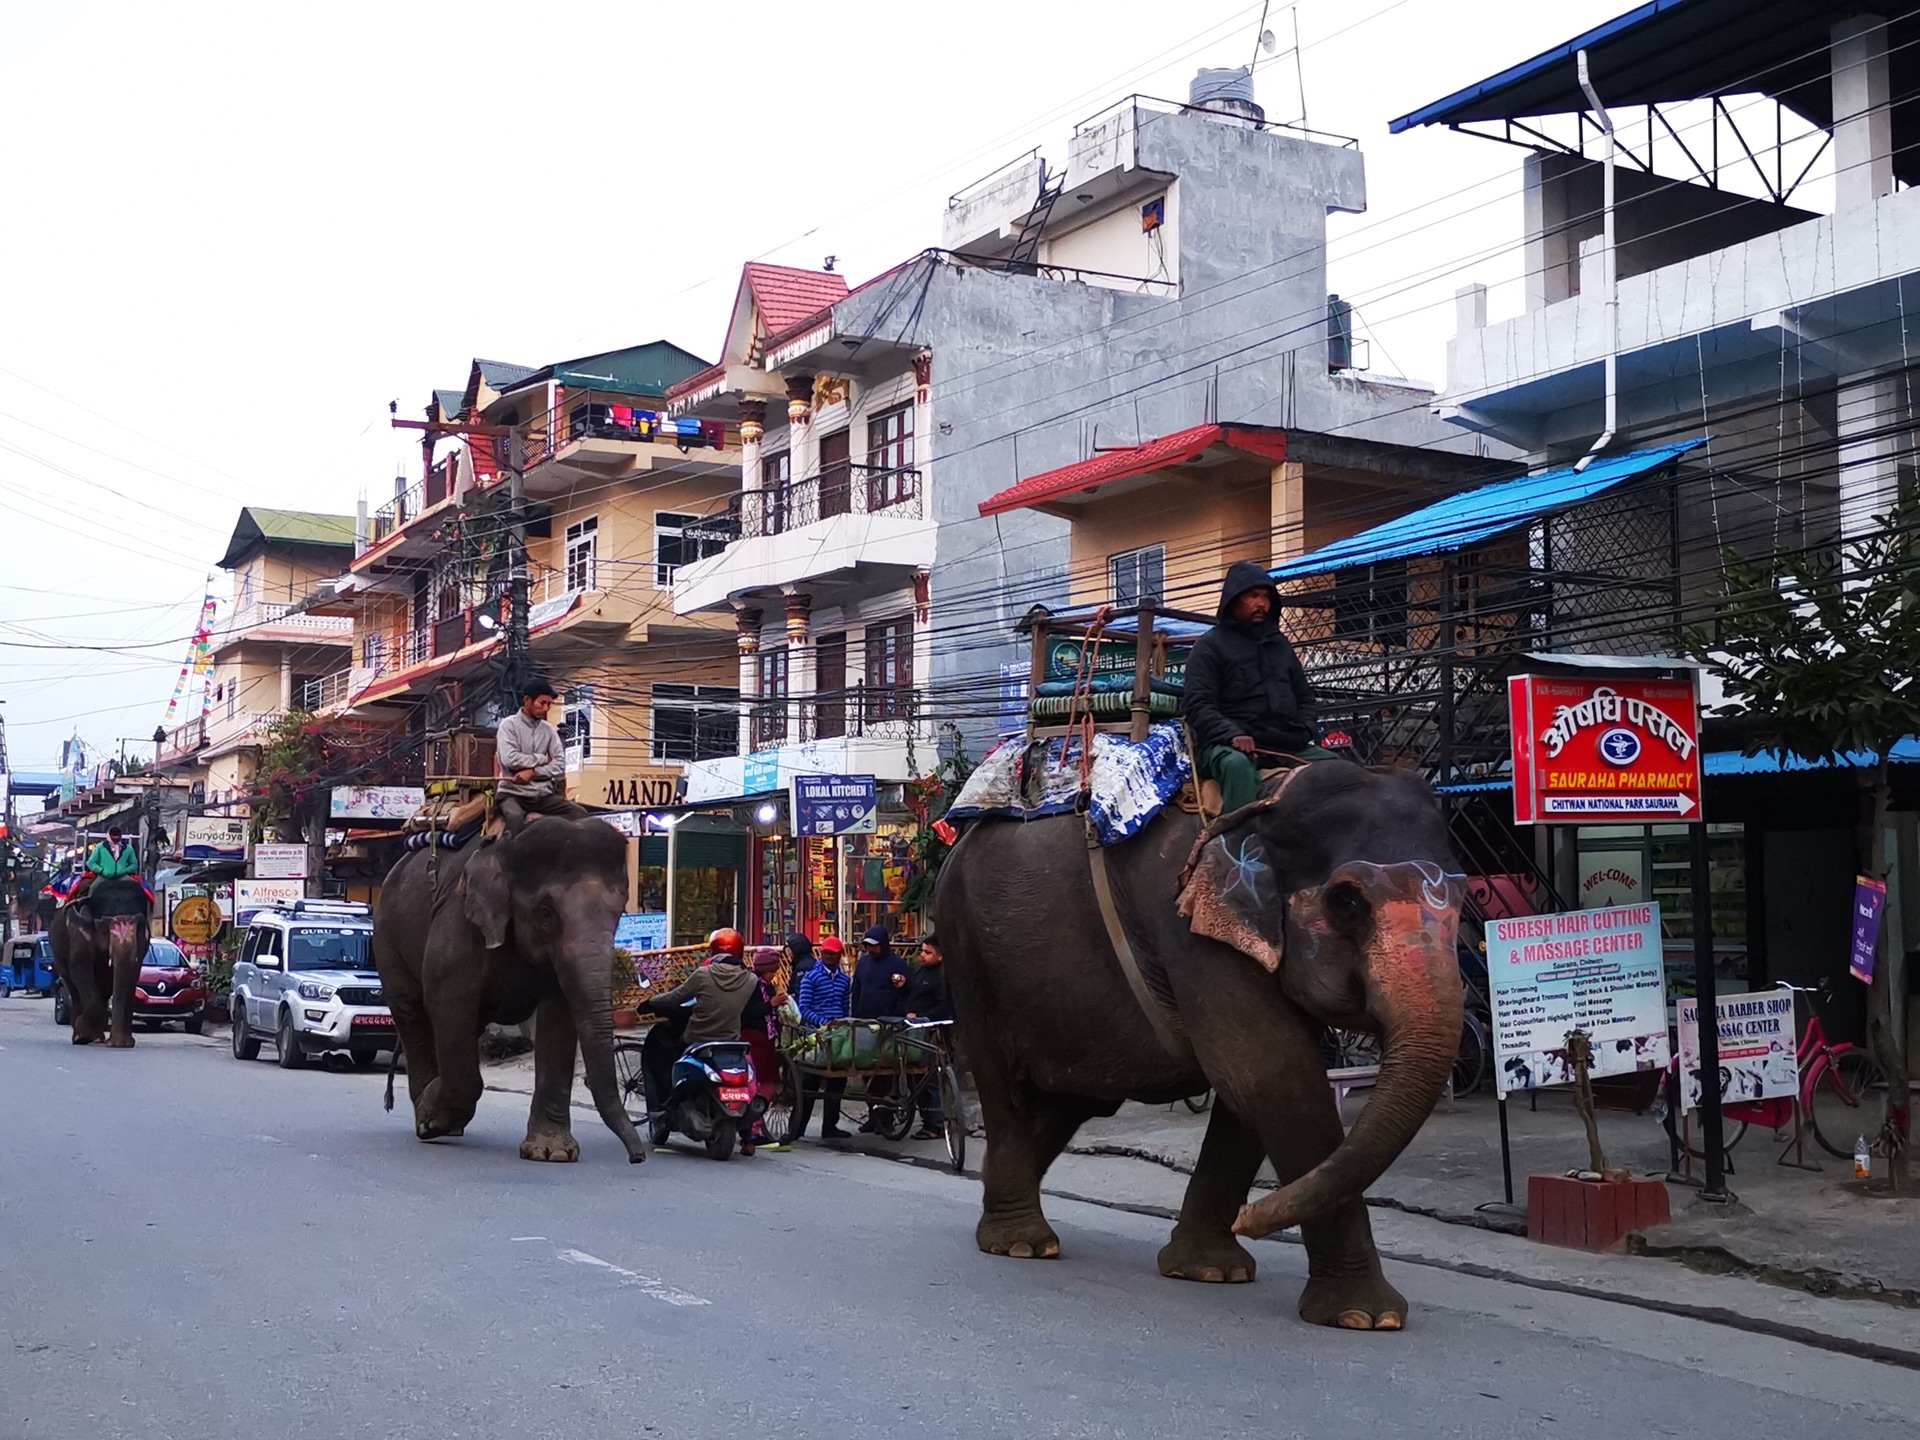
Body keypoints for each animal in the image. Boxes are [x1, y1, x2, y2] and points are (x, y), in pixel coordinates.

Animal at [48, 879, 150, 1052]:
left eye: (139, 928)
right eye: (104, 931)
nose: (116, 1044)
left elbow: (132, 971)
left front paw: (122, 1044)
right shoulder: (78, 932)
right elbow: (80, 965)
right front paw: (83, 1034)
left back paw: (97, 1037)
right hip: (58, 955)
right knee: (71, 984)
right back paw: (80, 1035)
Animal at [370, 817, 648, 1167]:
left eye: (620, 912)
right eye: (546, 912)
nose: (637, 1157)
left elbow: (558, 1016)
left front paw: (551, 1153)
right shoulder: (457, 923)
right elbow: (448, 1002)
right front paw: (433, 1113)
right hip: (386, 938)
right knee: (413, 1014)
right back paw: (426, 1119)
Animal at [936, 760, 1459, 1336]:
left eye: (1465, 897)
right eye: (1346, 901)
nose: (1251, 1218)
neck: (1270, 793)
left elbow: (1250, 1092)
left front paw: (1211, 1271)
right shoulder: (1188, 929)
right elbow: (1269, 1072)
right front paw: (1365, 1316)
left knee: (1074, 1101)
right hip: (968, 959)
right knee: (1004, 1085)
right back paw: (1021, 1244)